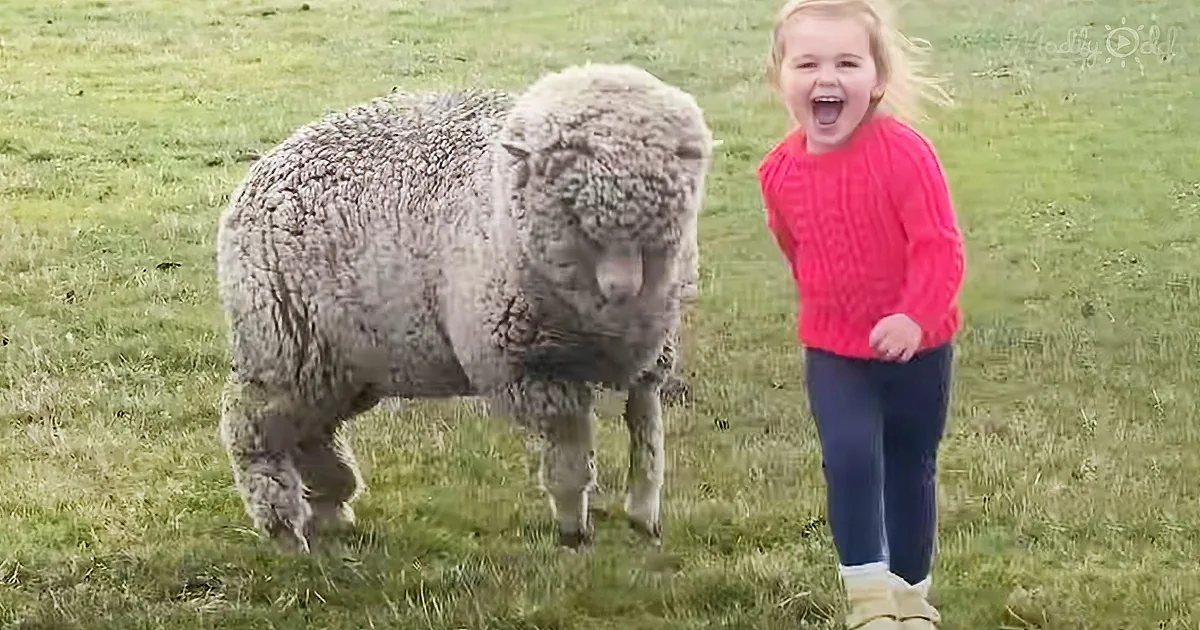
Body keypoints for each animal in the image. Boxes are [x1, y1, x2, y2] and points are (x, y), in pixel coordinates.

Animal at [214, 62, 715, 553]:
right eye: (577, 219)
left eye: (657, 224)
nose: (621, 289)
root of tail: (259, 174)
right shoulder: (534, 372)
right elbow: (571, 463)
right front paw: (574, 531)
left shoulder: (647, 356)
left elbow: (648, 437)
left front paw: (644, 514)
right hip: (281, 348)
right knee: (251, 428)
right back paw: (283, 527)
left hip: (337, 364)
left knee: (312, 432)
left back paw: (331, 506)